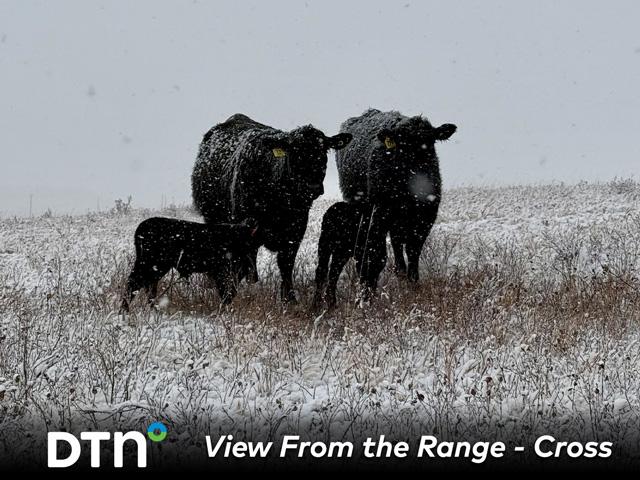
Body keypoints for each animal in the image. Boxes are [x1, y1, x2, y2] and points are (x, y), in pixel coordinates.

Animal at [121, 217, 259, 311]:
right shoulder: (223, 273)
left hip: (156, 268)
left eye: (255, 248)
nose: (254, 277)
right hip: (148, 265)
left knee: (148, 286)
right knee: (134, 283)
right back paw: (125, 310)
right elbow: (227, 293)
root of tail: (143, 227)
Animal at [192, 113, 352, 302]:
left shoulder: (295, 230)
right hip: (212, 217)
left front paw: (289, 299)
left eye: (323, 151)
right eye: (294, 153)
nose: (312, 187)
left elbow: (286, 265)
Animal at [336, 109, 457, 283]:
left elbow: (413, 250)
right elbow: (375, 251)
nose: (419, 172)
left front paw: (413, 280)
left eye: (430, 141)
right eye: (403, 145)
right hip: (360, 206)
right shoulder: (381, 212)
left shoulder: (426, 216)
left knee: (396, 242)